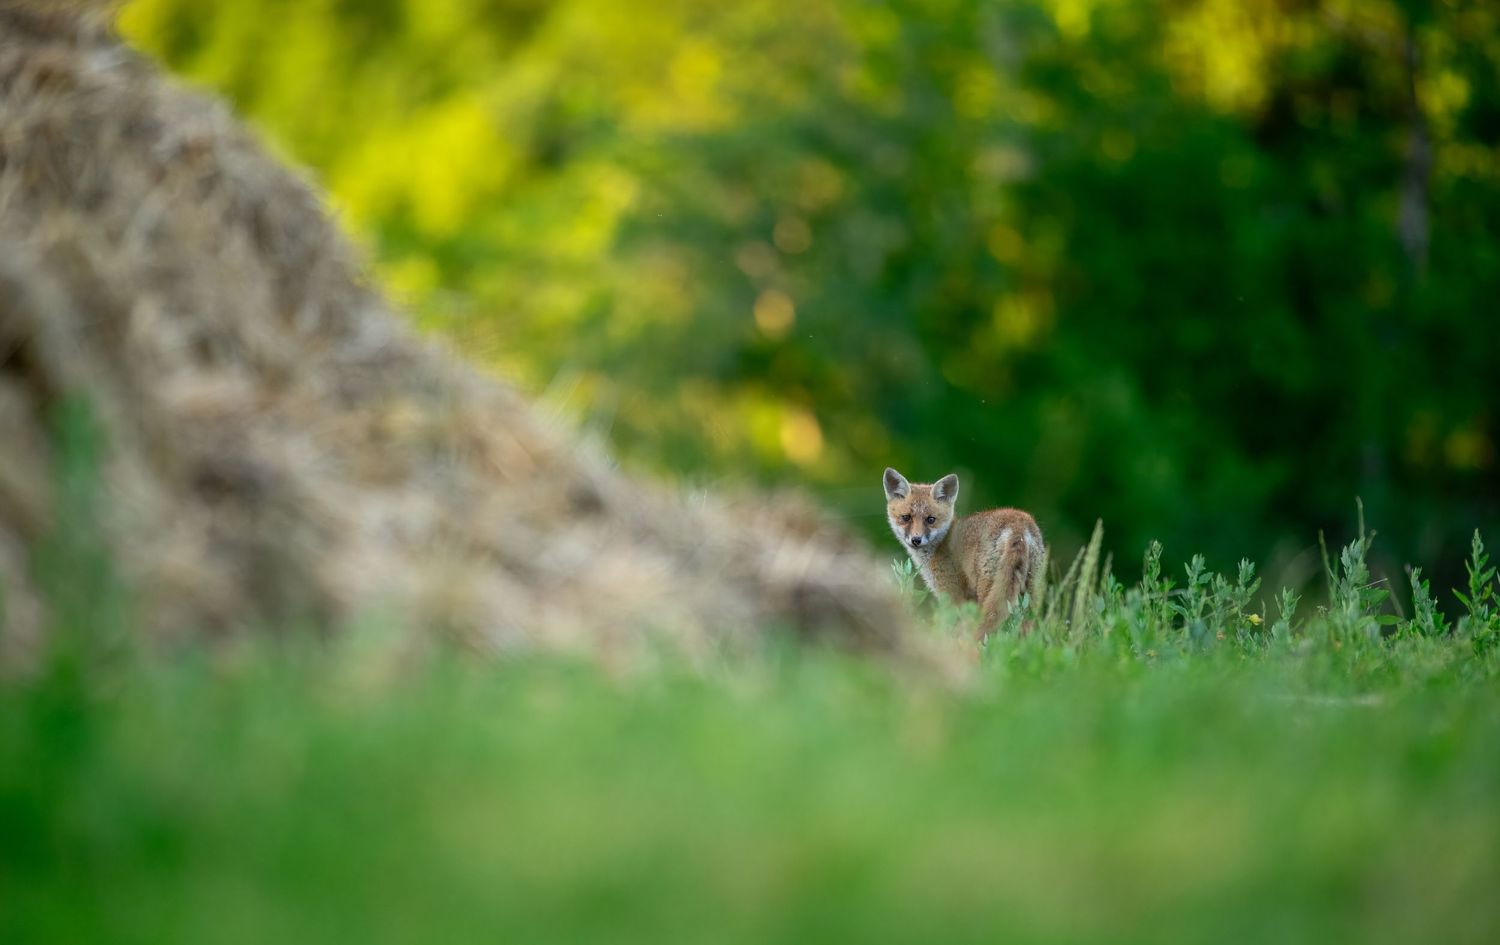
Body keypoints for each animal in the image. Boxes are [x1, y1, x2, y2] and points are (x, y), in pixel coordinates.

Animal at [883, 467, 1045, 640]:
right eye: (906, 517)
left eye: (931, 519)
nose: (916, 539)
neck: (940, 544)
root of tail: (1018, 525)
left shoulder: (953, 595)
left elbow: (950, 627)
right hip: (1031, 592)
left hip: (988, 588)